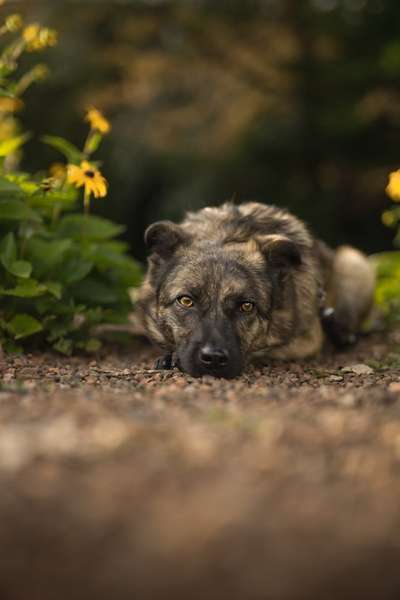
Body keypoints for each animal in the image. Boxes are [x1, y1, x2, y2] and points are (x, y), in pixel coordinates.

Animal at [137, 204, 376, 378]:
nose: (213, 359)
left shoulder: (307, 339)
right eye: (186, 301)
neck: (227, 235)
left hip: (354, 262)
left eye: (246, 306)